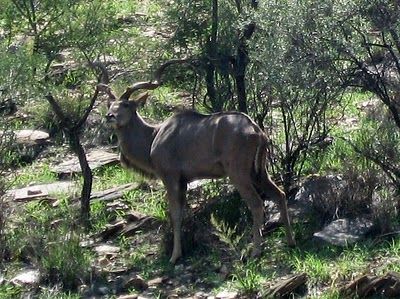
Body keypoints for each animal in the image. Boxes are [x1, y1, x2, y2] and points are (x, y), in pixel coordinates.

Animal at [99, 81, 296, 264]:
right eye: (109, 104)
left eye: (126, 105)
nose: (109, 116)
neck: (154, 136)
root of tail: (257, 131)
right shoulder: (183, 181)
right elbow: (183, 213)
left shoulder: (170, 177)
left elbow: (175, 214)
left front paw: (175, 256)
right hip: (259, 172)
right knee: (279, 194)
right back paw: (290, 242)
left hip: (238, 174)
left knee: (256, 204)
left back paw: (256, 252)